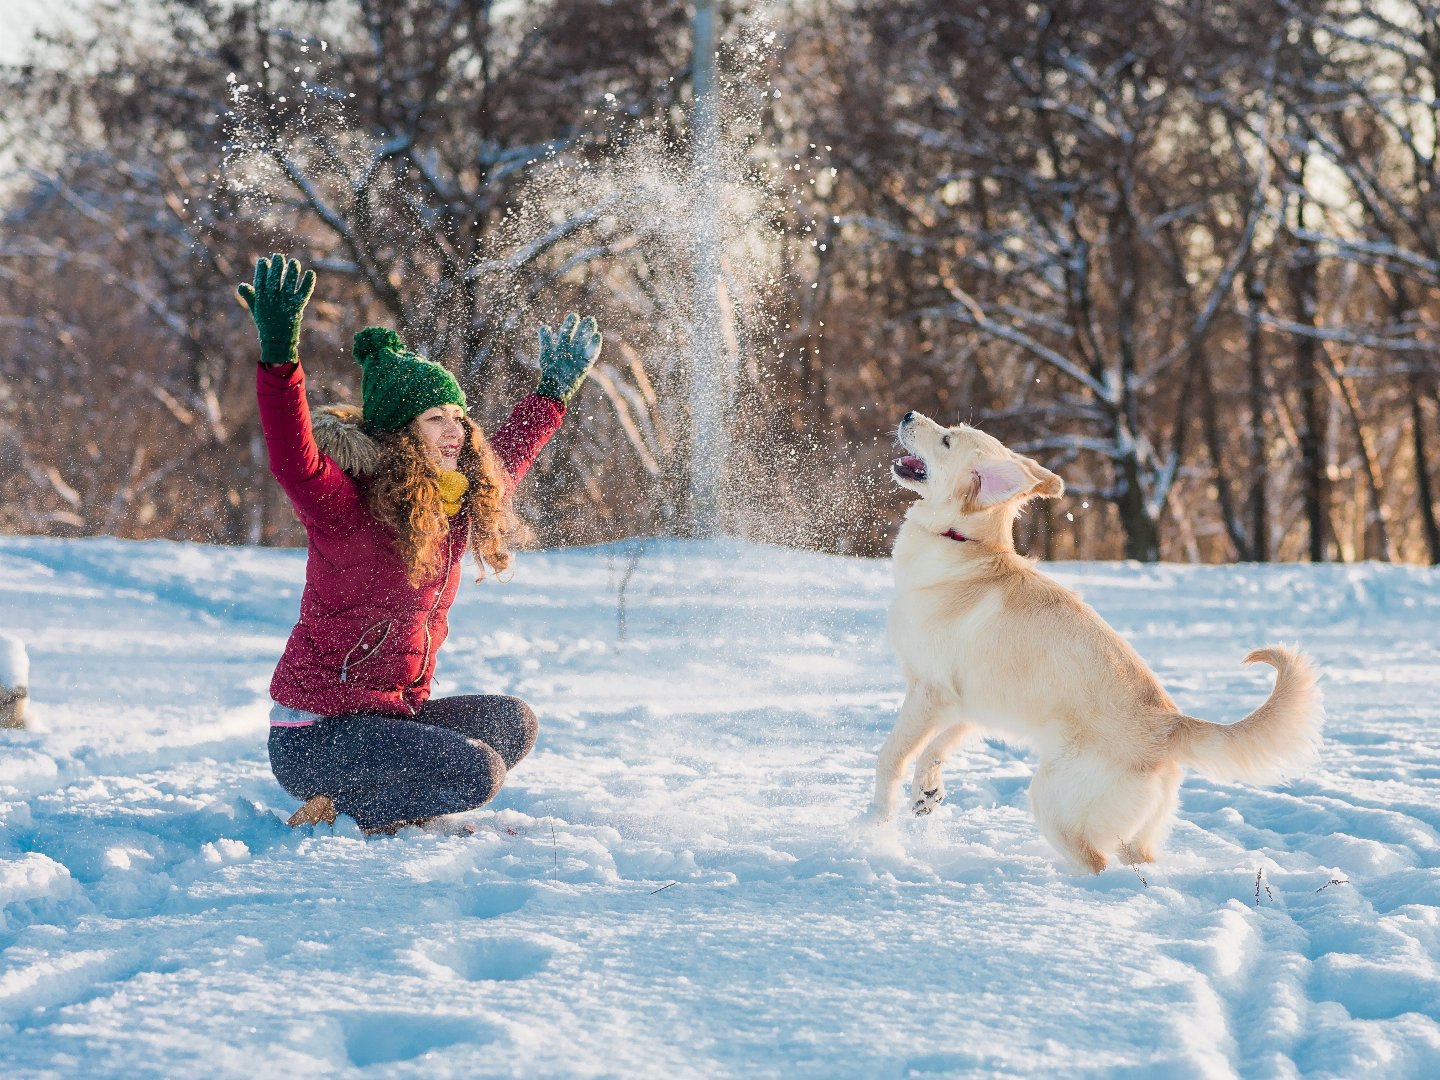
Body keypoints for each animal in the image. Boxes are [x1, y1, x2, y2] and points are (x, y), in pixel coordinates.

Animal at [869, 408, 1319, 875]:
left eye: (946, 441)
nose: (908, 415)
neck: (964, 544)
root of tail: (1170, 725)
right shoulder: (968, 705)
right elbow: (936, 748)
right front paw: (926, 791)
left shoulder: (929, 693)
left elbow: (891, 757)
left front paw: (876, 825)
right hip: (1135, 833)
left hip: (1053, 801)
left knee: (1095, 863)